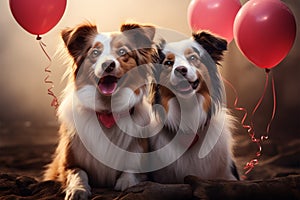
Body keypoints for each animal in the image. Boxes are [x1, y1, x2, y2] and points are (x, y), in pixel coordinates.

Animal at [43, 22, 158, 199]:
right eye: (95, 53)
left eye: (122, 52)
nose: (108, 65)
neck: (107, 111)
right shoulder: (67, 165)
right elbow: (78, 173)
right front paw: (78, 189)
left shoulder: (141, 159)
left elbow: (132, 172)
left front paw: (126, 183)